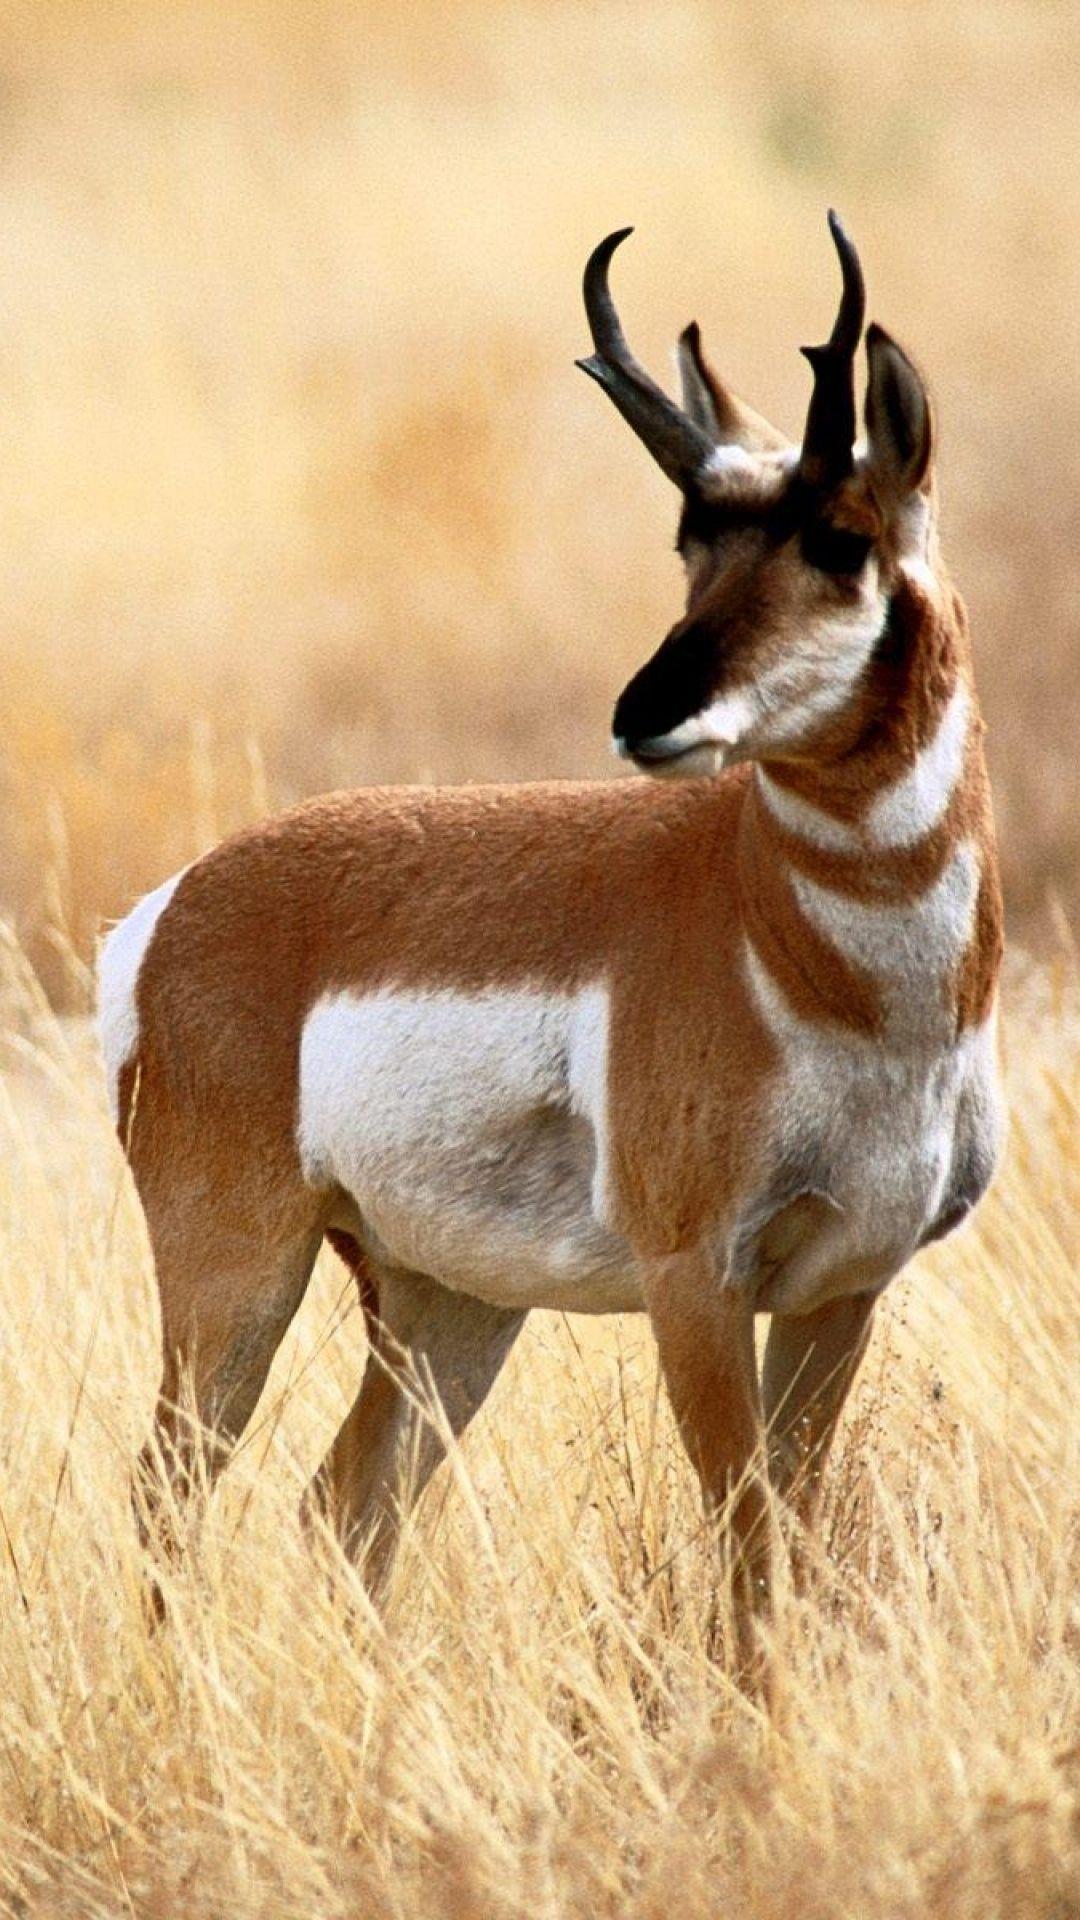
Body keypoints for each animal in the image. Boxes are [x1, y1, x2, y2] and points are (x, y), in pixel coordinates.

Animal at [99, 213, 1004, 1638]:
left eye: (840, 538)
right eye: (690, 541)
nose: (646, 713)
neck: (815, 964)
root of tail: (179, 904)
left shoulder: (841, 1289)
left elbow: (793, 1544)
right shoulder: (696, 1283)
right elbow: (746, 1544)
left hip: (449, 1305)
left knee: (343, 1505)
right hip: (238, 1275)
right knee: (168, 1504)